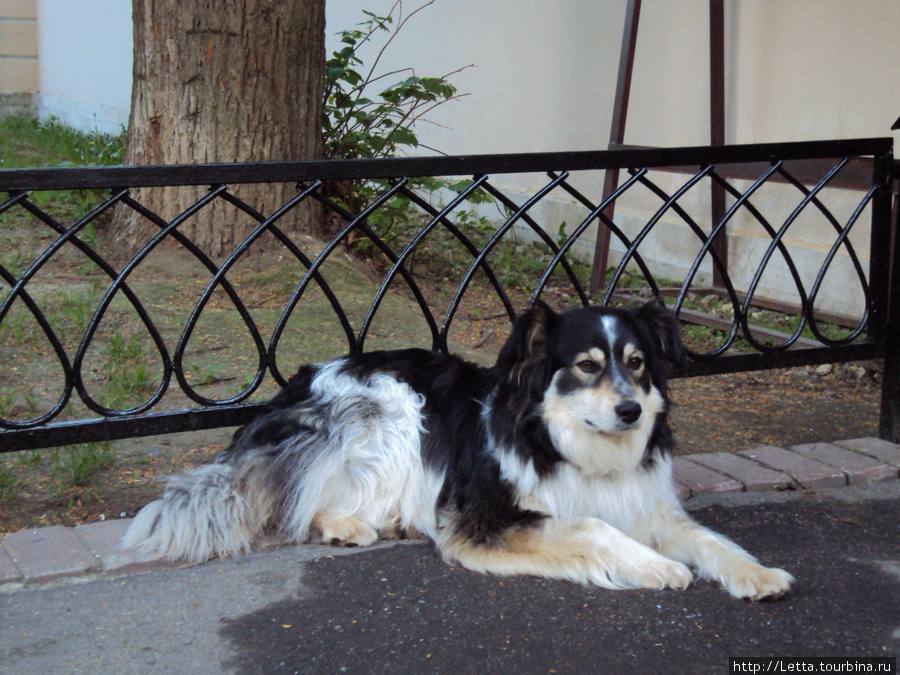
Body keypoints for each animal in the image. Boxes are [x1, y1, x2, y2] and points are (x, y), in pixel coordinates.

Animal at [123, 302, 792, 604]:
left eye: (637, 364)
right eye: (585, 366)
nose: (630, 411)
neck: (570, 447)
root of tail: (291, 389)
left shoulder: (650, 506)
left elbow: (710, 539)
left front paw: (758, 573)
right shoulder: (486, 515)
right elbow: (594, 528)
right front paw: (657, 567)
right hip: (389, 417)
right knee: (298, 500)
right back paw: (346, 525)